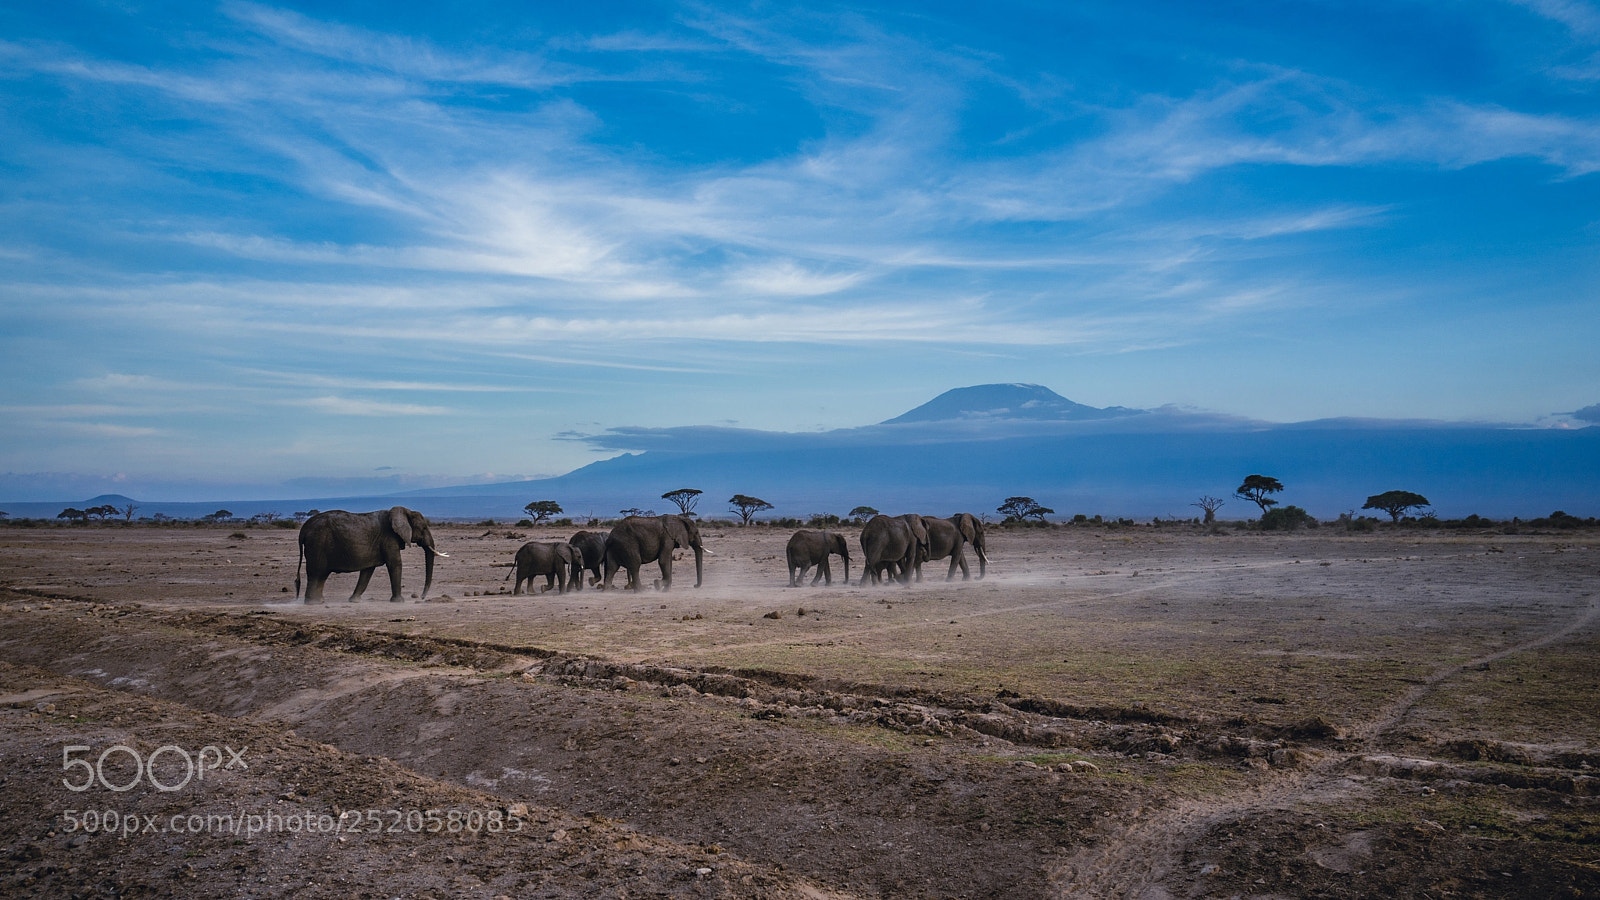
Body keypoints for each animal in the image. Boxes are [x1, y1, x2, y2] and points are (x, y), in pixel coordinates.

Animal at [295, 507, 446, 603]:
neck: (404, 511)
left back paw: (319, 601)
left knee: (320, 576)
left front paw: (354, 601)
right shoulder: (389, 538)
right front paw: (399, 601)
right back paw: (314, 603)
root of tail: (303, 529)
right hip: (317, 543)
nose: (421, 597)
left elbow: (368, 570)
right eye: (424, 528)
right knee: (317, 573)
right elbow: (395, 563)